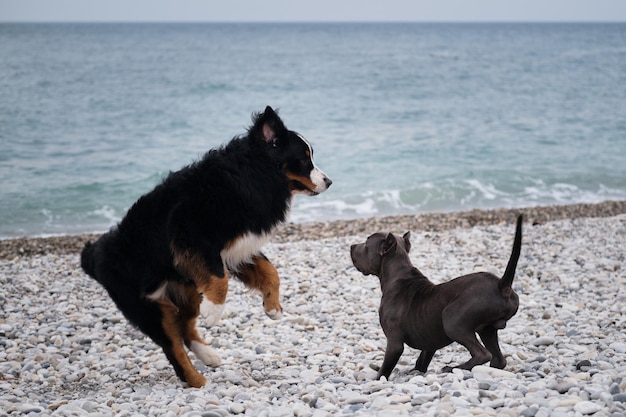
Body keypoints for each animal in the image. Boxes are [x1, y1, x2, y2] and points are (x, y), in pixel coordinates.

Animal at [348, 213, 520, 378]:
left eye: (366, 244)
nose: (351, 246)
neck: (398, 272)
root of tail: (501, 286)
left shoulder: (394, 343)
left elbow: (384, 369)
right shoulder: (429, 342)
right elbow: (422, 360)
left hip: (452, 320)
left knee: (482, 354)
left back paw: (452, 368)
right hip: (487, 330)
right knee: (498, 359)